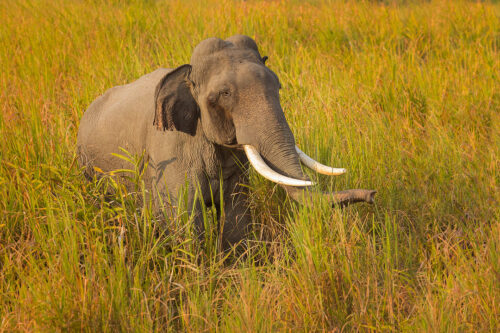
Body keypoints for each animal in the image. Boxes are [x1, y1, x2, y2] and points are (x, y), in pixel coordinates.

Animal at [77, 35, 376, 249]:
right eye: (224, 94)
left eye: (278, 86)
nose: (372, 195)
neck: (187, 74)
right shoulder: (169, 154)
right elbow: (184, 221)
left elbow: (235, 218)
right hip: (89, 169)